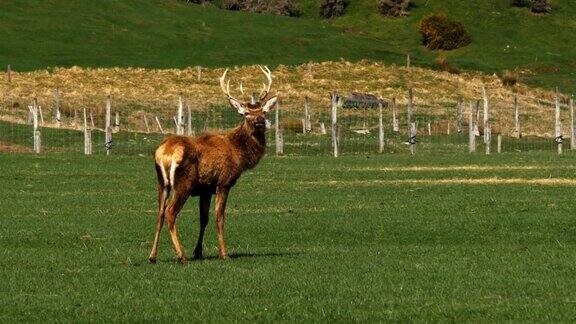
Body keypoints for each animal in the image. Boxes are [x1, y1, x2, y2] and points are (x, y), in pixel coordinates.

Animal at [147, 66, 276, 264]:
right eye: (246, 113)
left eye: (263, 111)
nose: (260, 121)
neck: (239, 153)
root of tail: (165, 153)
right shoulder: (223, 182)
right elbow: (219, 217)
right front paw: (224, 253)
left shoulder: (206, 188)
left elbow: (204, 218)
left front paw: (199, 252)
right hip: (183, 183)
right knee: (170, 213)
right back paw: (181, 255)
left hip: (162, 183)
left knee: (160, 213)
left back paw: (153, 256)